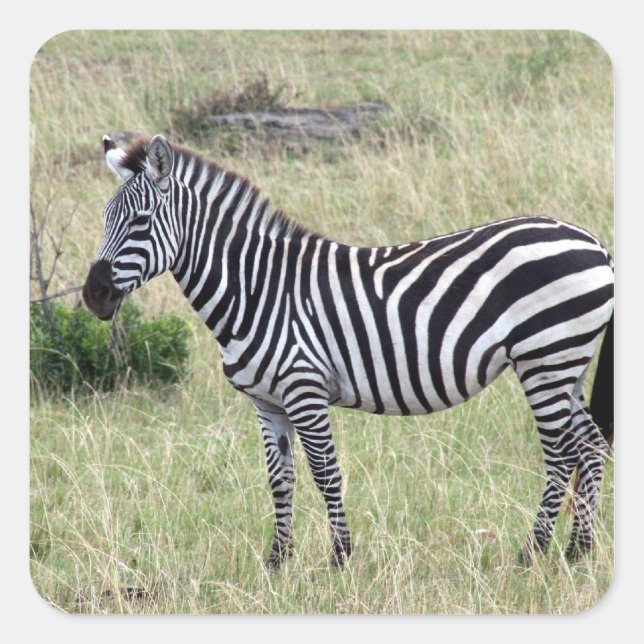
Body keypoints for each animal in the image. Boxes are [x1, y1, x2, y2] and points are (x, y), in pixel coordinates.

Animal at [83, 134, 614, 569]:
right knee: (591, 447)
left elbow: (325, 473)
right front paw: (277, 562)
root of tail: (593, 243)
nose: (93, 295)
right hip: (567, 364)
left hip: (545, 359)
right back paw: (577, 551)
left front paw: (339, 559)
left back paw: (532, 553)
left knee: (562, 454)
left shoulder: (304, 388)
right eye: (104, 220)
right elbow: (281, 478)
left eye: (141, 221)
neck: (256, 288)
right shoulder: (266, 401)